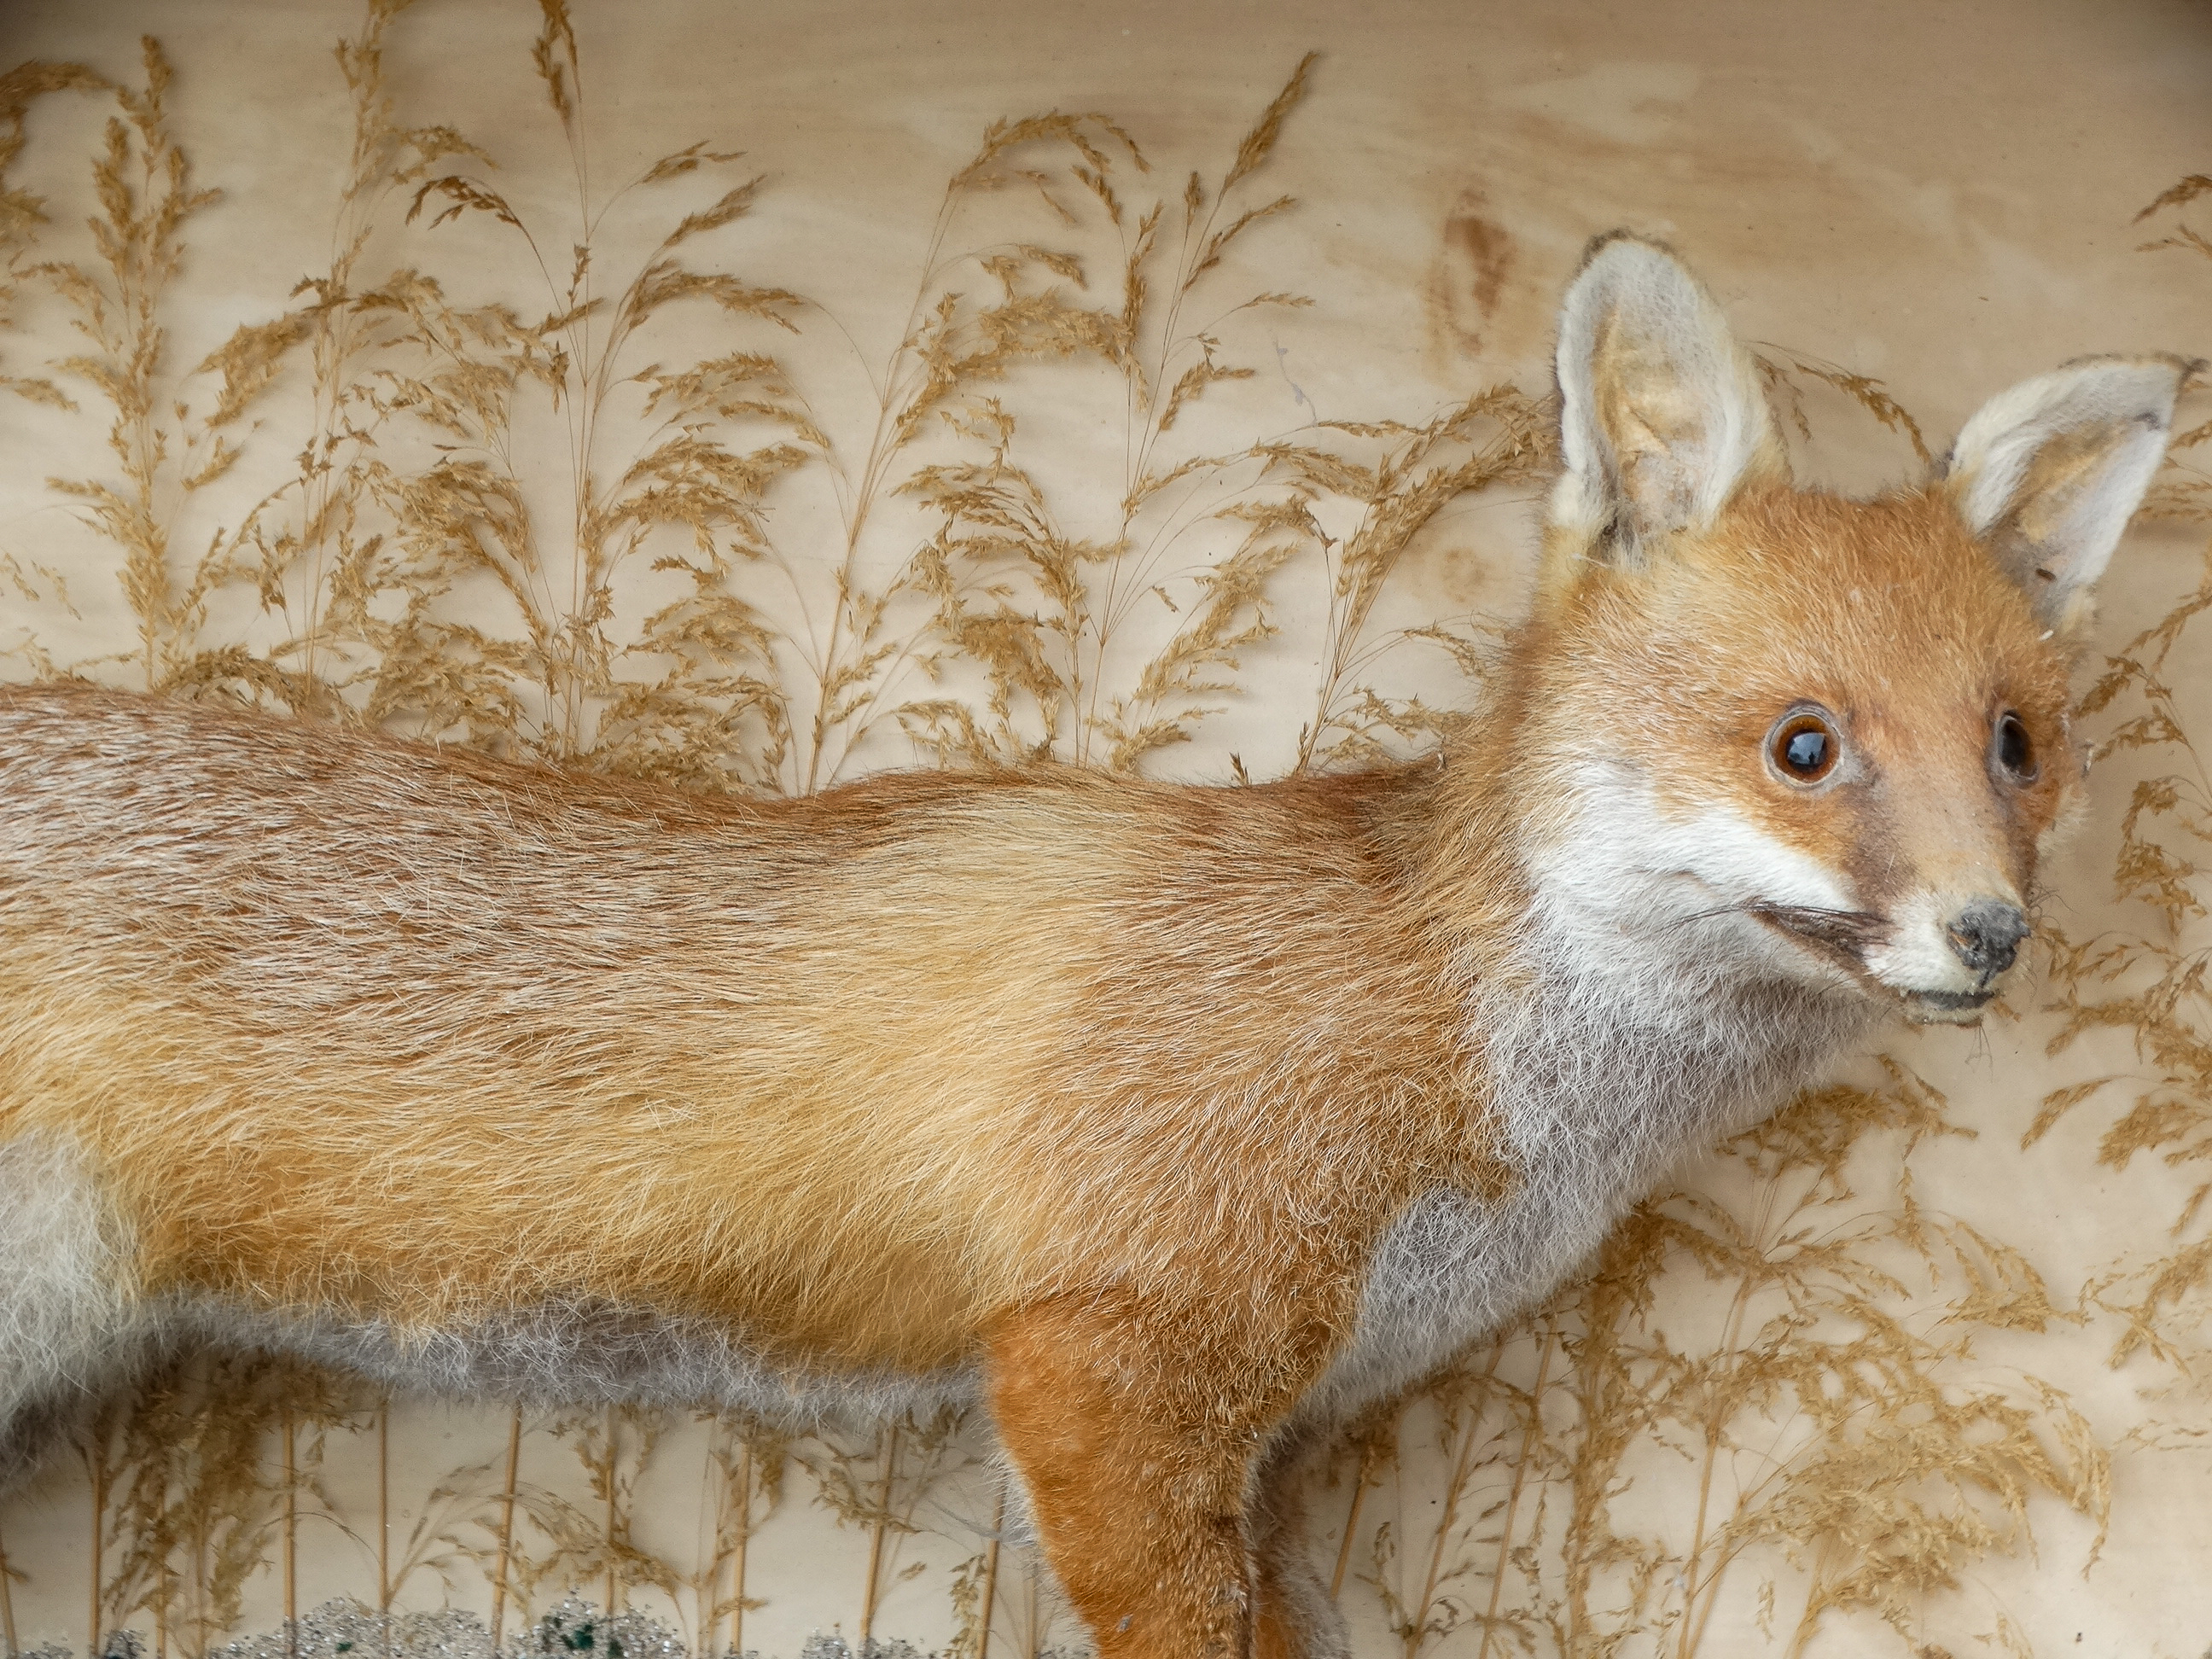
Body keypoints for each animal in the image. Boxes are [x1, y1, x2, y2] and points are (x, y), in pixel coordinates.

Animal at [0, 236, 2185, 1659]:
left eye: (2015, 746)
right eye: (1804, 746)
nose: (1990, 932)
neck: (1470, 1063)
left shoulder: (1265, 1445)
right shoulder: (1107, 1368)